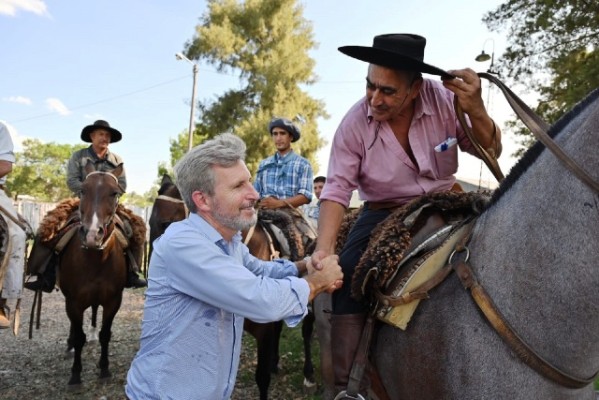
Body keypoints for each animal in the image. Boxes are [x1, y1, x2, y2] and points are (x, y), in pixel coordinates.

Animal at [58, 162, 127, 390]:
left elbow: (106, 334)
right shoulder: (74, 302)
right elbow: (79, 336)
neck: (95, 260)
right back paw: (70, 346)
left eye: (114, 193)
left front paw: (104, 370)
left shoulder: (113, 301)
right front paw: (75, 376)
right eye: (82, 190)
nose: (91, 235)